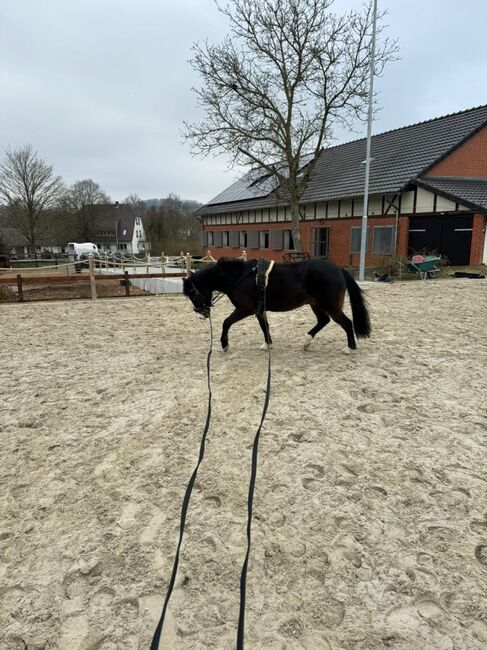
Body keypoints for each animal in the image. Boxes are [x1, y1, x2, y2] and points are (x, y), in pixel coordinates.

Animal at [184, 256, 374, 352]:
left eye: (192, 293)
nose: (201, 313)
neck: (241, 277)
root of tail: (338, 269)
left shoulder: (245, 309)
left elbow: (226, 322)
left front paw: (225, 345)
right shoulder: (259, 310)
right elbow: (264, 326)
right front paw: (267, 344)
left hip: (330, 306)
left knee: (346, 323)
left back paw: (350, 348)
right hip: (316, 304)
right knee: (323, 321)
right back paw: (306, 342)